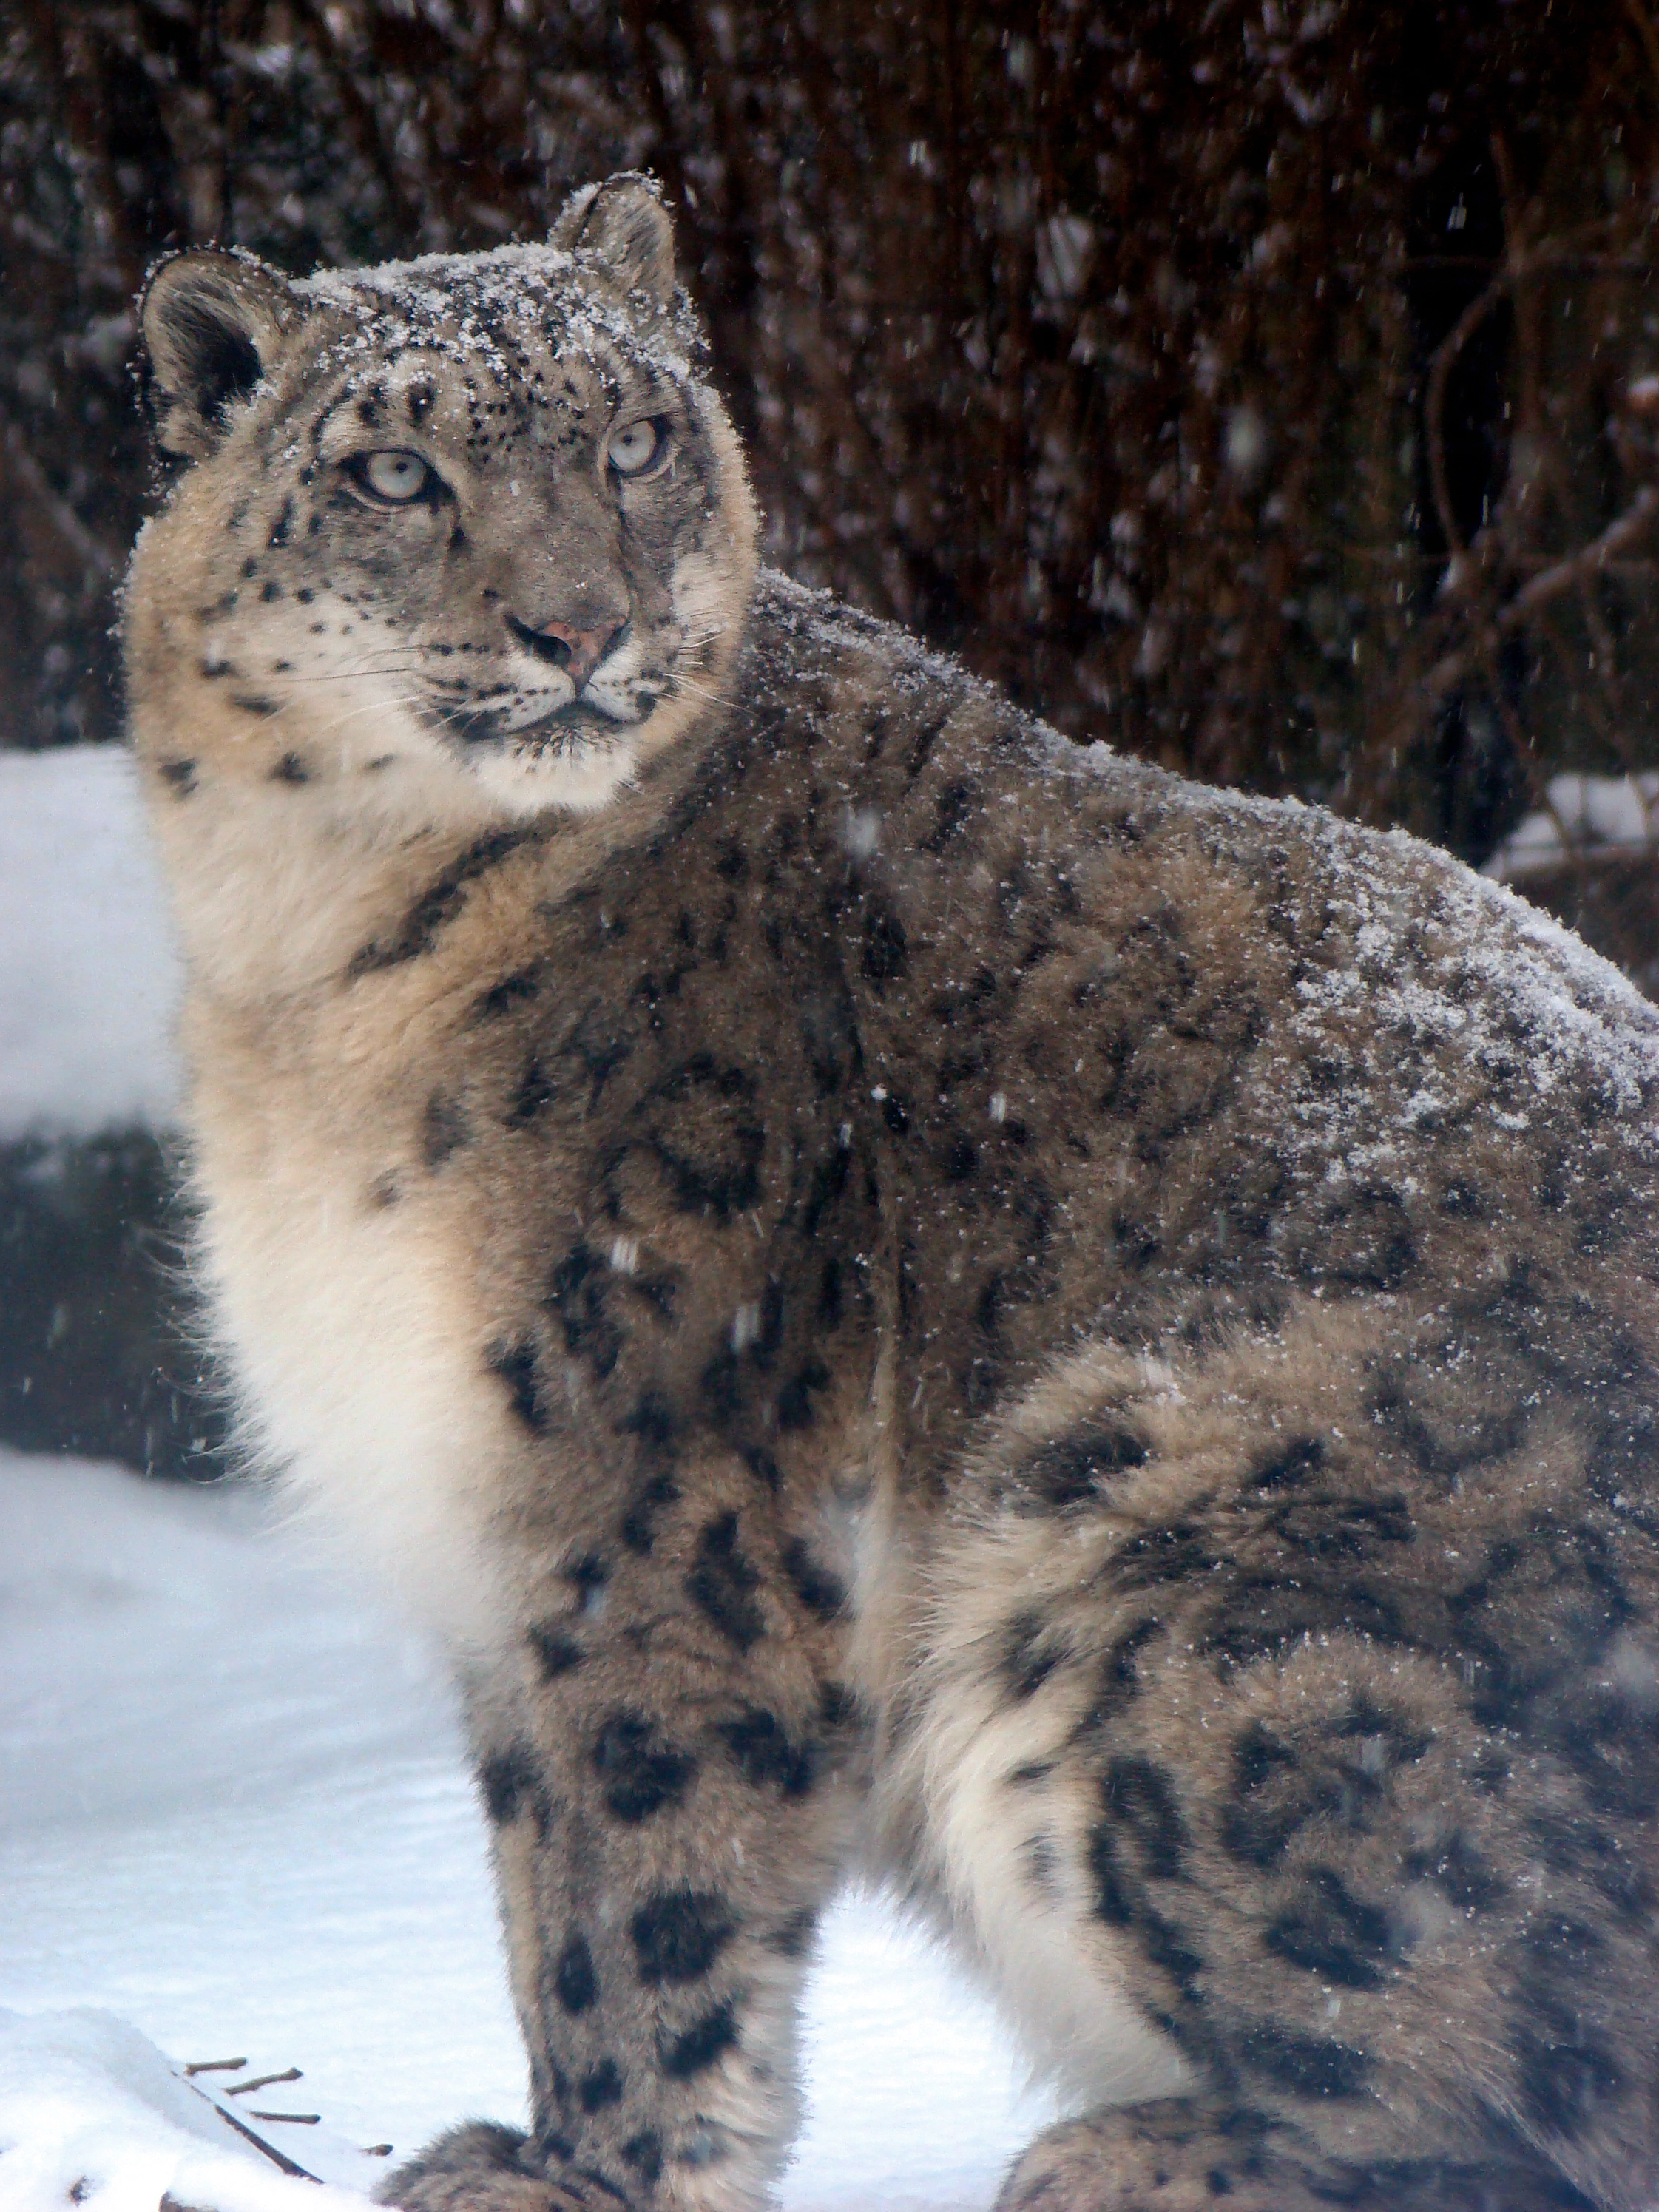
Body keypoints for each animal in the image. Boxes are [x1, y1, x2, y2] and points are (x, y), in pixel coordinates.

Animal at [123, 172, 1659, 2212]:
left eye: (632, 441)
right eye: (392, 472)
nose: (577, 626)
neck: (304, 948)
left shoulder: (648, 1468)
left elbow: (626, 1873)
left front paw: (577, 2173)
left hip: (1142, 1541)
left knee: (1518, 2081)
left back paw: (1107, 2158)